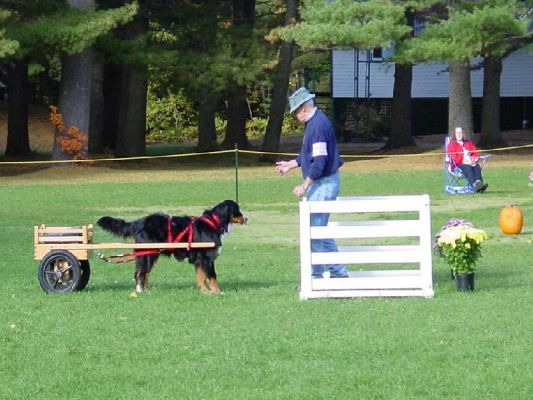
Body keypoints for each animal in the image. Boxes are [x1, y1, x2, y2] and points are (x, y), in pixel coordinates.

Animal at [96, 202, 246, 292]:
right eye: (237, 210)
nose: (247, 218)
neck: (213, 223)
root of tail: (139, 222)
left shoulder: (199, 260)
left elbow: (201, 277)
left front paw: (204, 291)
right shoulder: (207, 258)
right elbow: (212, 277)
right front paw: (217, 292)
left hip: (151, 255)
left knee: (144, 273)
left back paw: (147, 290)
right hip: (148, 255)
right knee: (140, 273)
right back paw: (140, 291)